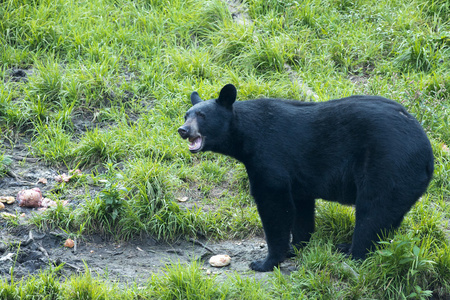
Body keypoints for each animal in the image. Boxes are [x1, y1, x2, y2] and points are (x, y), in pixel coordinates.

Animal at [178, 82, 434, 272]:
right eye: (186, 115)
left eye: (202, 115)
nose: (183, 130)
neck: (245, 138)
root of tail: (428, 154)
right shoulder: (298, 178)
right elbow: (302, 208)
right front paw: (297, 246)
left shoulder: (270, 158)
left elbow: (274, 206)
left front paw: (266, 261)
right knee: (386, 219)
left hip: (387, 166)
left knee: (373, 211)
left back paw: (353, 254)